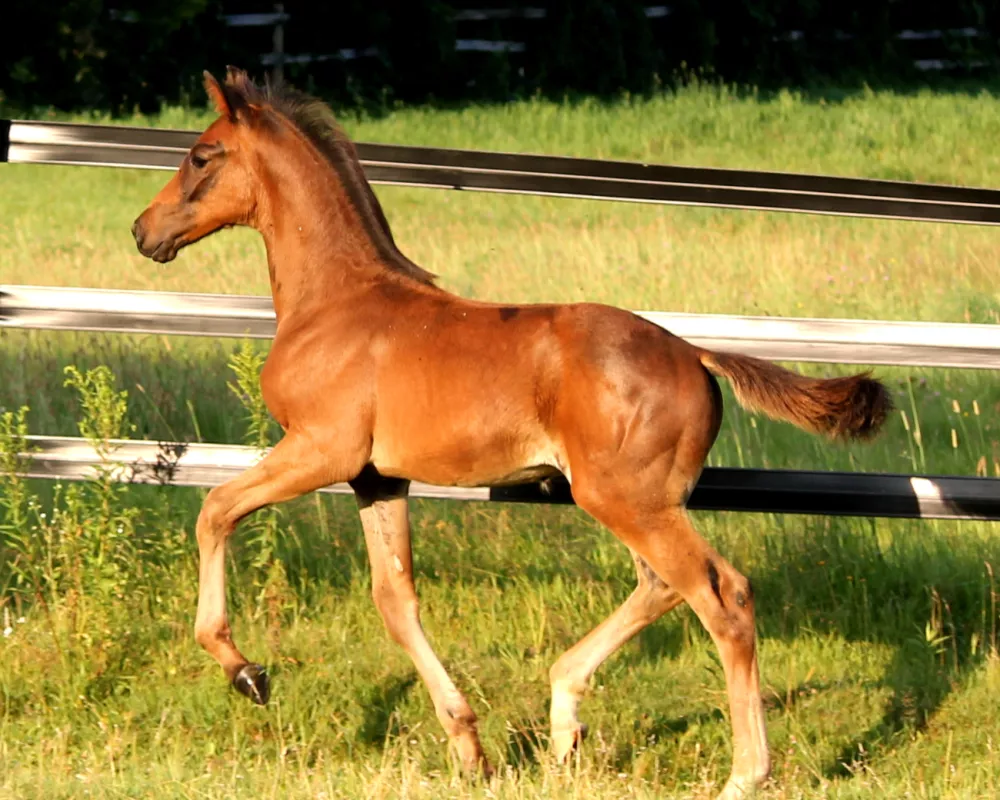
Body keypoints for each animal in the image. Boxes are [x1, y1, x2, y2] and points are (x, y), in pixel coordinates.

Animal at [131, 70, 892, 800]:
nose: (143, 230)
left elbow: (215, 509)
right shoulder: (378, 477)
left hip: (625, 500)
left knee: (721, 595)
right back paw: (563, 722)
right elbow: (394, 600)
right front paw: (470, 750)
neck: (336, 300)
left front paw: (246, 672)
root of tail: (696, 355)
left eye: (201, 155)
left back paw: (743, 774)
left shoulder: (321, 449)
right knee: (660, 585)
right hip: (640, 501)